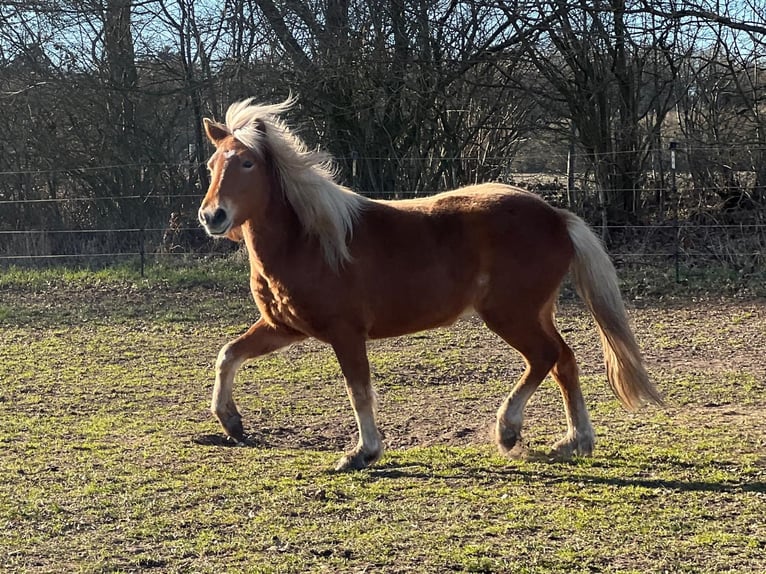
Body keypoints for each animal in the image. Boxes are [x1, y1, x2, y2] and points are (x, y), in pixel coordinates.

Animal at [197, 98, 663, 471]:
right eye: (212, 164)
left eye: (247, 163)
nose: (212, 216)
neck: (312, 239)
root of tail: (556, 216)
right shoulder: (285, 327)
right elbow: (228, 354)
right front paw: (231, 422)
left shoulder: (346, 333)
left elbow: (359, 390)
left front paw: (363, 453)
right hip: (535, 312)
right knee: (564, 359)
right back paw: (574, 442)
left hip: (510, 314)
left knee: (545, 357)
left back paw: (509, 430)